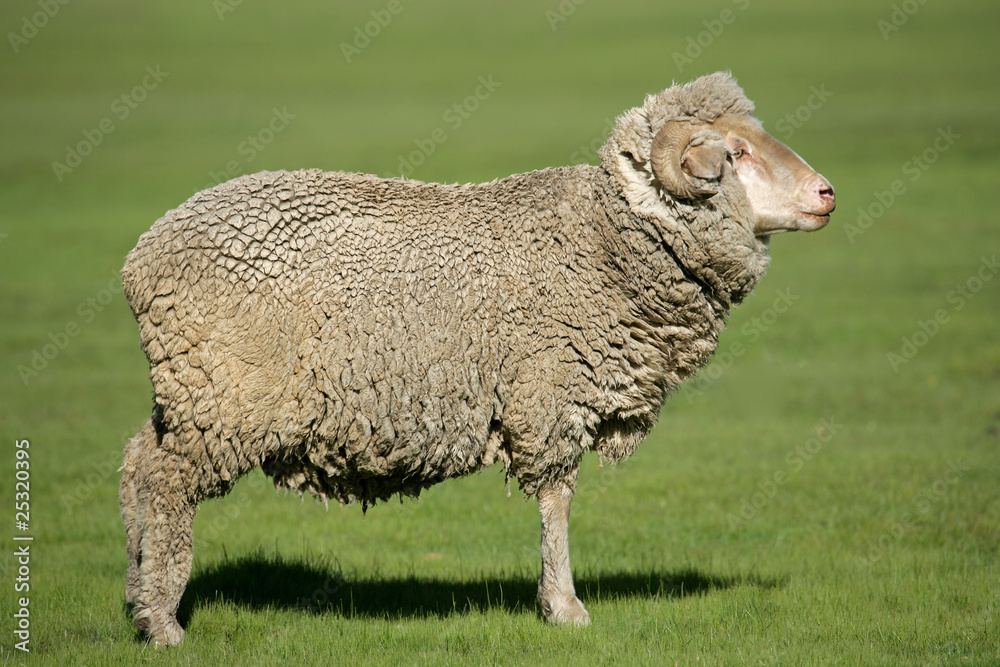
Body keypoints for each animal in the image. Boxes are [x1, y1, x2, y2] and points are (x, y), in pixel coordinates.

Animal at [120, 71, 835, 646]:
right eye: (735, 152)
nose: (827, 193)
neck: (606, 241)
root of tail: (142, 257)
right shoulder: (550, 392)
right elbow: (557, 500)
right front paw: (565, 608)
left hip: (190, 390)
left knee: (137, 464)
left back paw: (138, 593)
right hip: (223, 396)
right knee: (166, 482)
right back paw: (164, 623)